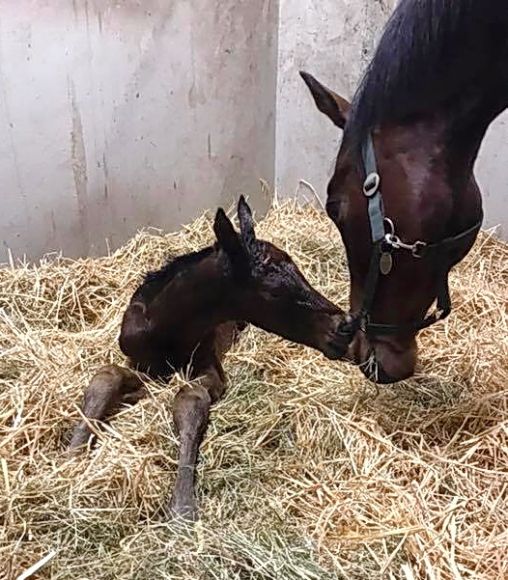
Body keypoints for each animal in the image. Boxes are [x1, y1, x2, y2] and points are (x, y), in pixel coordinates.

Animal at [68, 197, 350, 520]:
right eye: (274, 292)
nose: (344, 327)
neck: (167, 327)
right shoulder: (144, 364)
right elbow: (107, 376)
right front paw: (73, 454)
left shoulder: (208, 366)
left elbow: (190, 397)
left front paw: (181, 505)